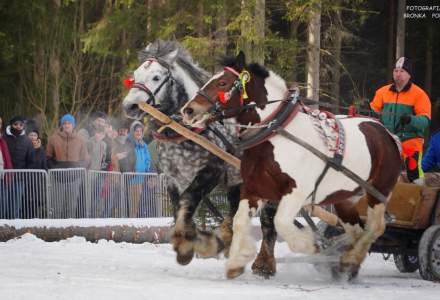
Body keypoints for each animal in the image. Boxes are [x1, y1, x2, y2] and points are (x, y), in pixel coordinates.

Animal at [181, 51, 402, 278]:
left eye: (223, 83)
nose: (188, 110)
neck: (274, 133)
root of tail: (386, 133)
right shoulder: (254, 189)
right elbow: (240, 220)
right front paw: (236, 262)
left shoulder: (296, 192)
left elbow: (281, 222)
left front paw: (310, 245)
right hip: (345, 198)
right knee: (357, 230)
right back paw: (347, 265)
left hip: (378, 191)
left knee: (376, 227)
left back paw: (351, 258)